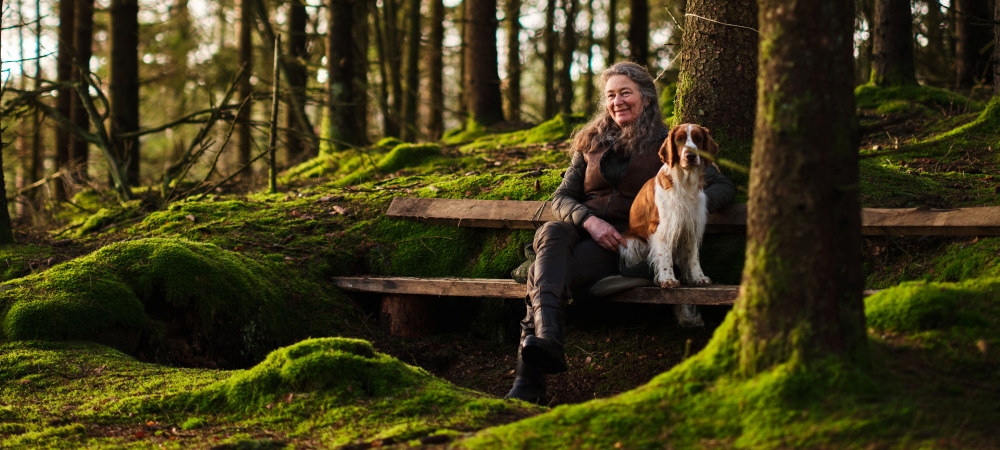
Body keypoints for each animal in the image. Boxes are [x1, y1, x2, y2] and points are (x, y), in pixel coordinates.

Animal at [616, 123, 720, 326]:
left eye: (698, 138)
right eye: (679, 139)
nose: (690, 155)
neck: (684, 184)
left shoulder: (692, 226)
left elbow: (693, 258)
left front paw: (698, 277)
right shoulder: (662, 228)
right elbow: (665, 258)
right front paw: (668, 279)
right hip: (631, 244)